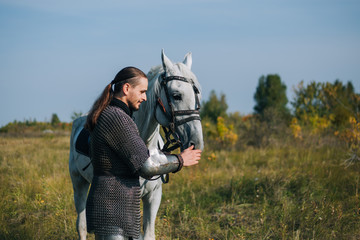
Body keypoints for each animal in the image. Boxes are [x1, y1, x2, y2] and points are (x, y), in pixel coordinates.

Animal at [68, 49, 202, 239]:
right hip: (78, 183)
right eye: (177, 96)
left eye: (198, 94)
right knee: (82, 225)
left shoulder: (153, 197)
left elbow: (148, 234)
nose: (196, 142)